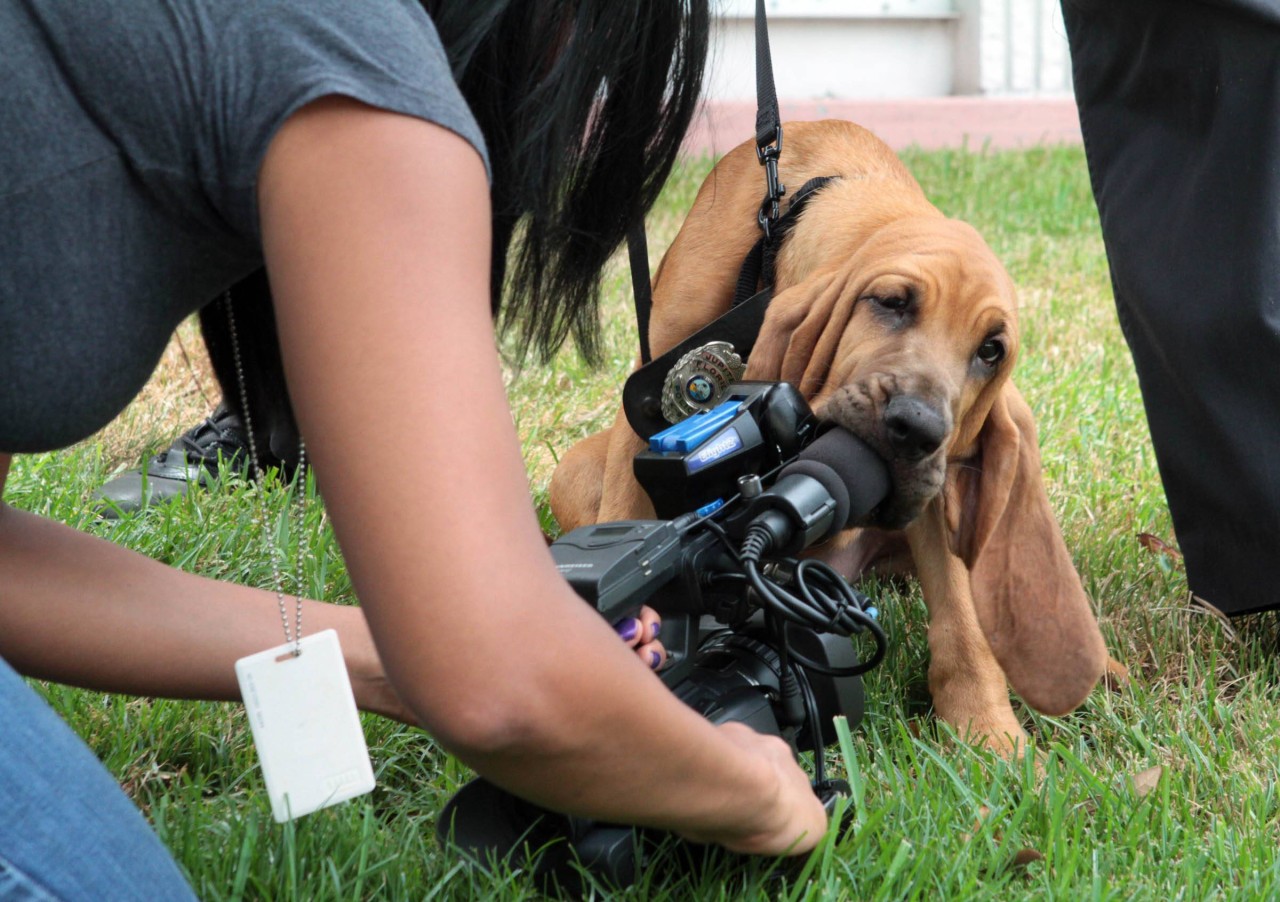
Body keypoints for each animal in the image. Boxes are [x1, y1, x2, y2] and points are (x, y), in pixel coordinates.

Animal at [550, 119, 1111, 752]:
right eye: (890, 302)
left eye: (991, 350)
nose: (917, 427)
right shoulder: (645, 396)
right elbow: (631, 515)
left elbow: (964, 619)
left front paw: (989, 736)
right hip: (572, 470)